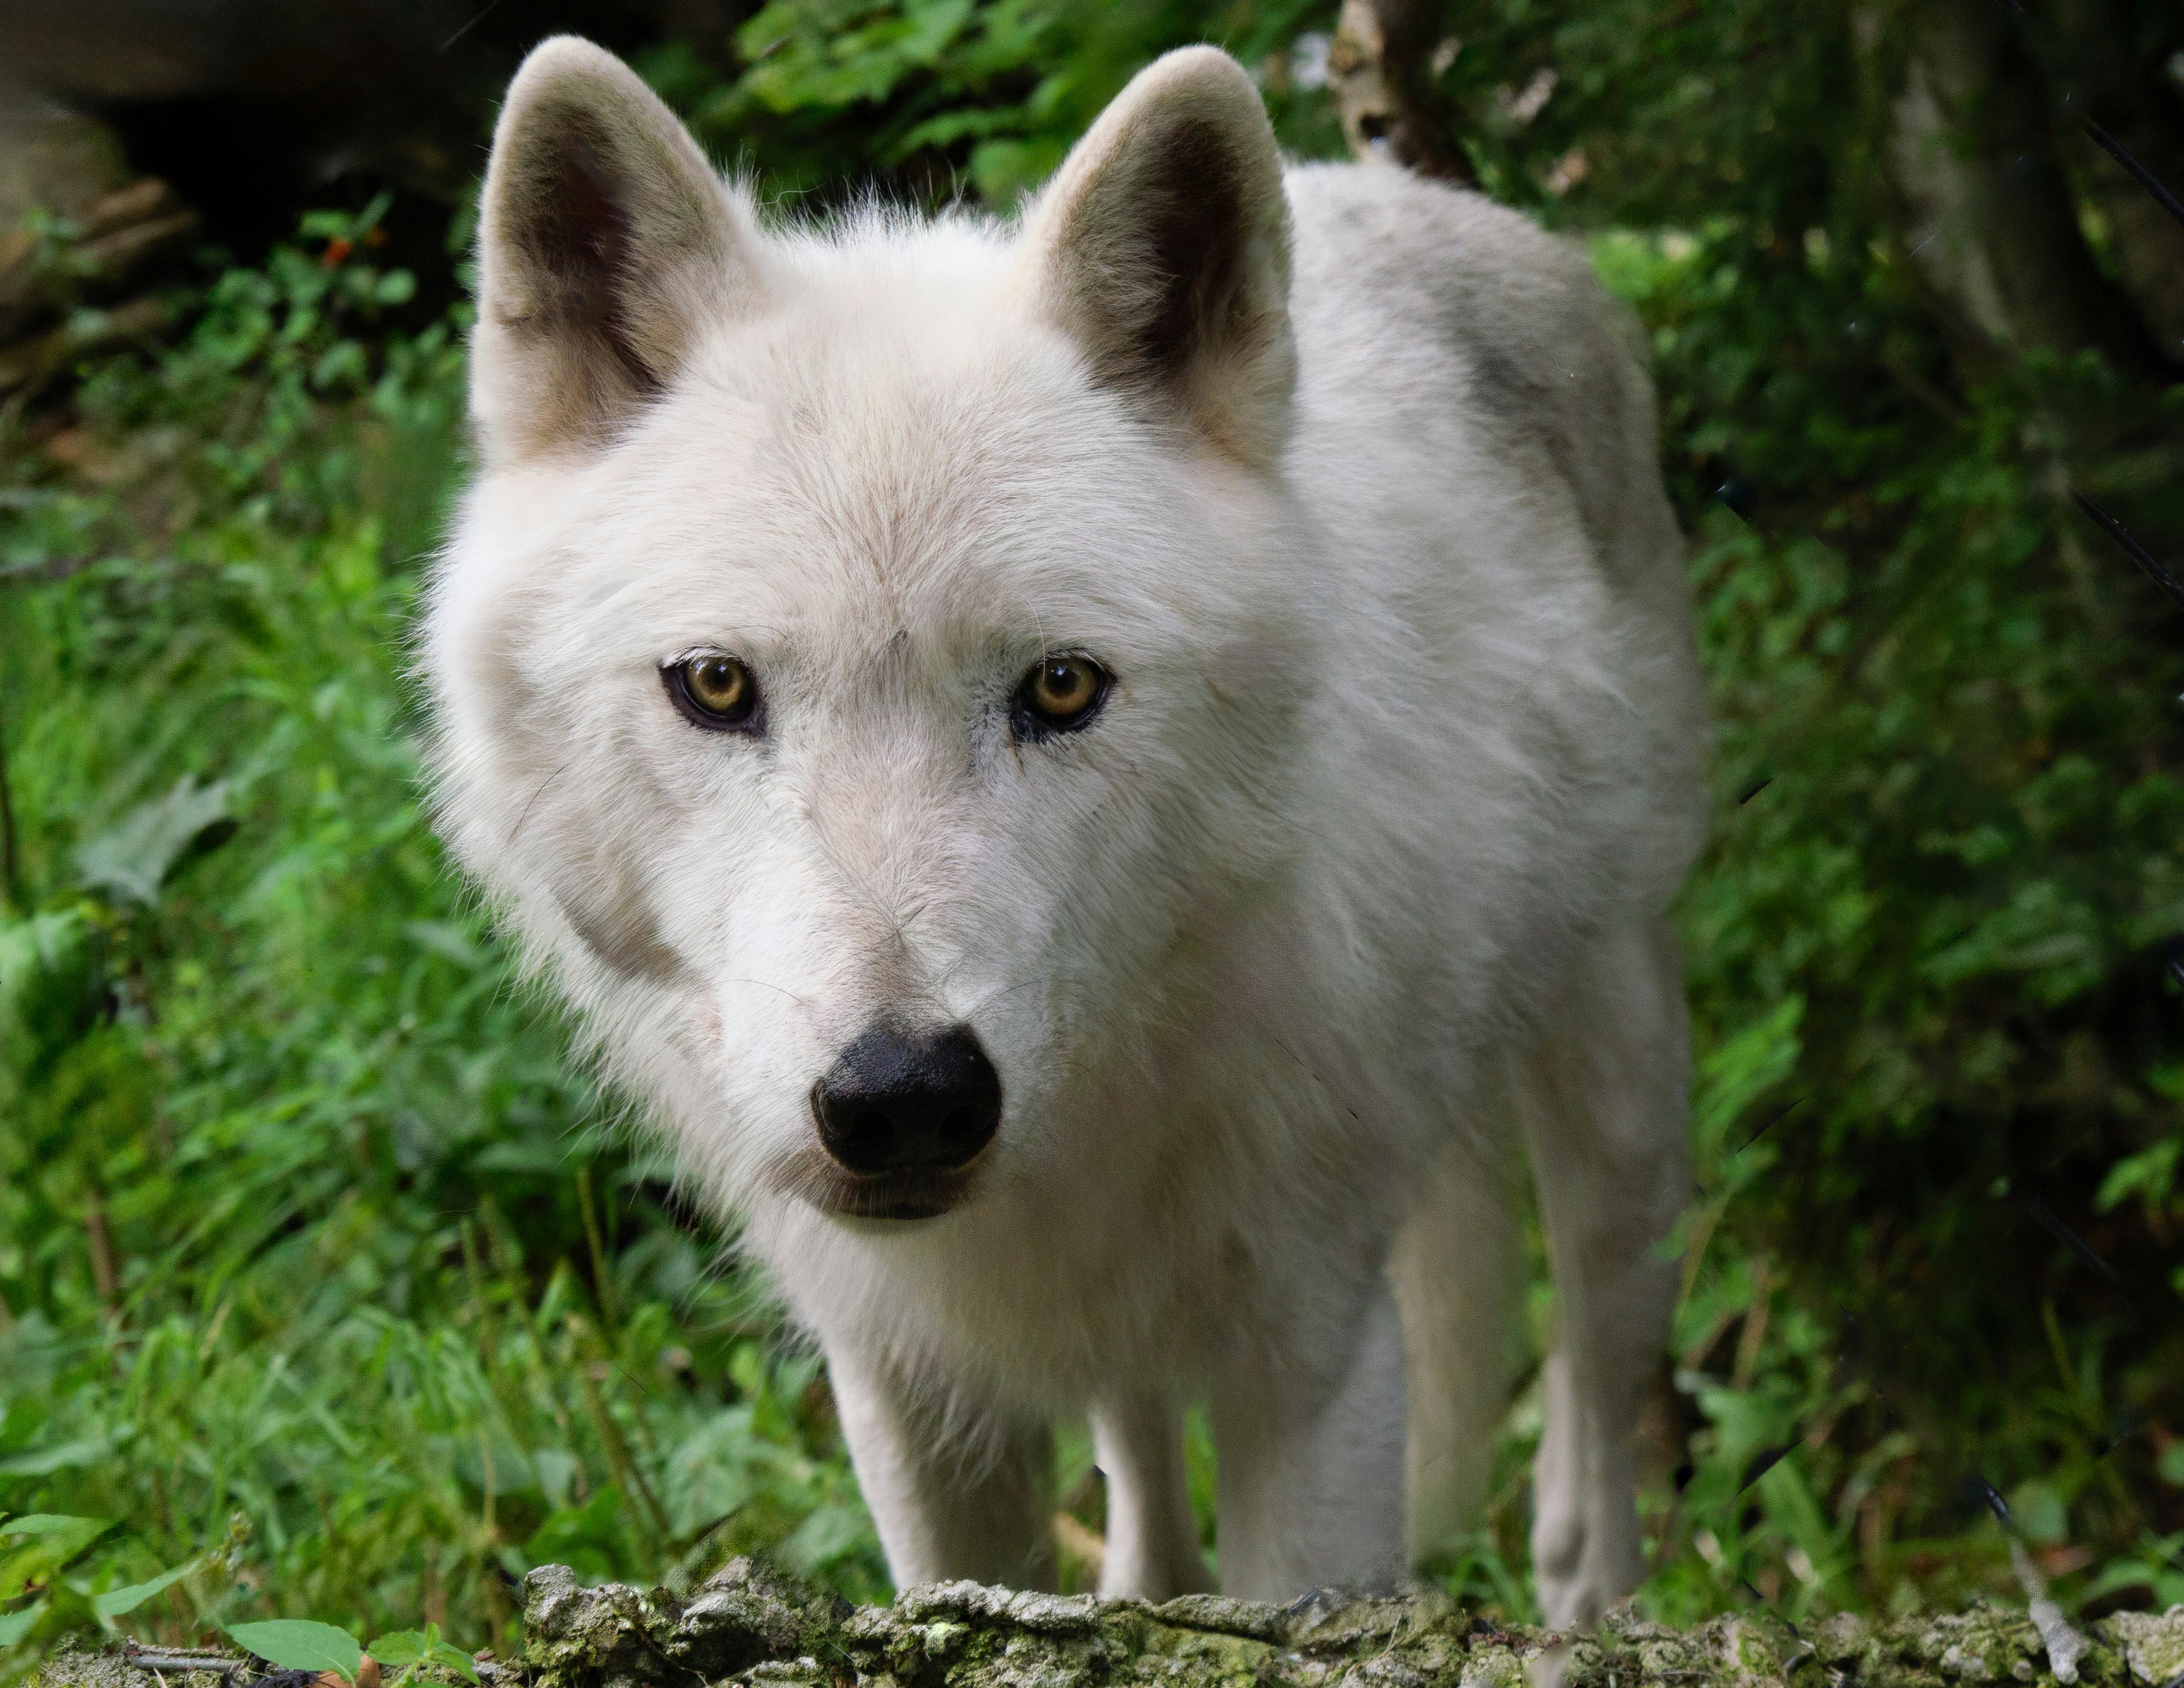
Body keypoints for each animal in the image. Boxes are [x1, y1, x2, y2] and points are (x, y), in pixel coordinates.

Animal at [423, 34, 1708, 1628]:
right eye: (716, 686)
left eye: (1060, 686)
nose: (903, 1098)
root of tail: (1443, 201)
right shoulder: (904, 1386)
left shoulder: (1322, 1361)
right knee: (1140, 1463)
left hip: (1620, 1096)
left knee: (1592, 1408)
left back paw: (1595, 1599)